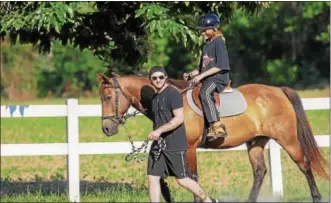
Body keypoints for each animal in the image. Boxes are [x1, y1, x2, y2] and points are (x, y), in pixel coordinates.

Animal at [96, 72, 330, 201]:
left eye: (107, 97)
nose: (106, 128)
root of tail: (278, 91)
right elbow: (161, 179)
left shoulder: (188, 149)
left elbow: (192, 178)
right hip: (255, 142)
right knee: (260, 172)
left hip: (288, 140)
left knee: (304, 164)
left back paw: (317, 197)